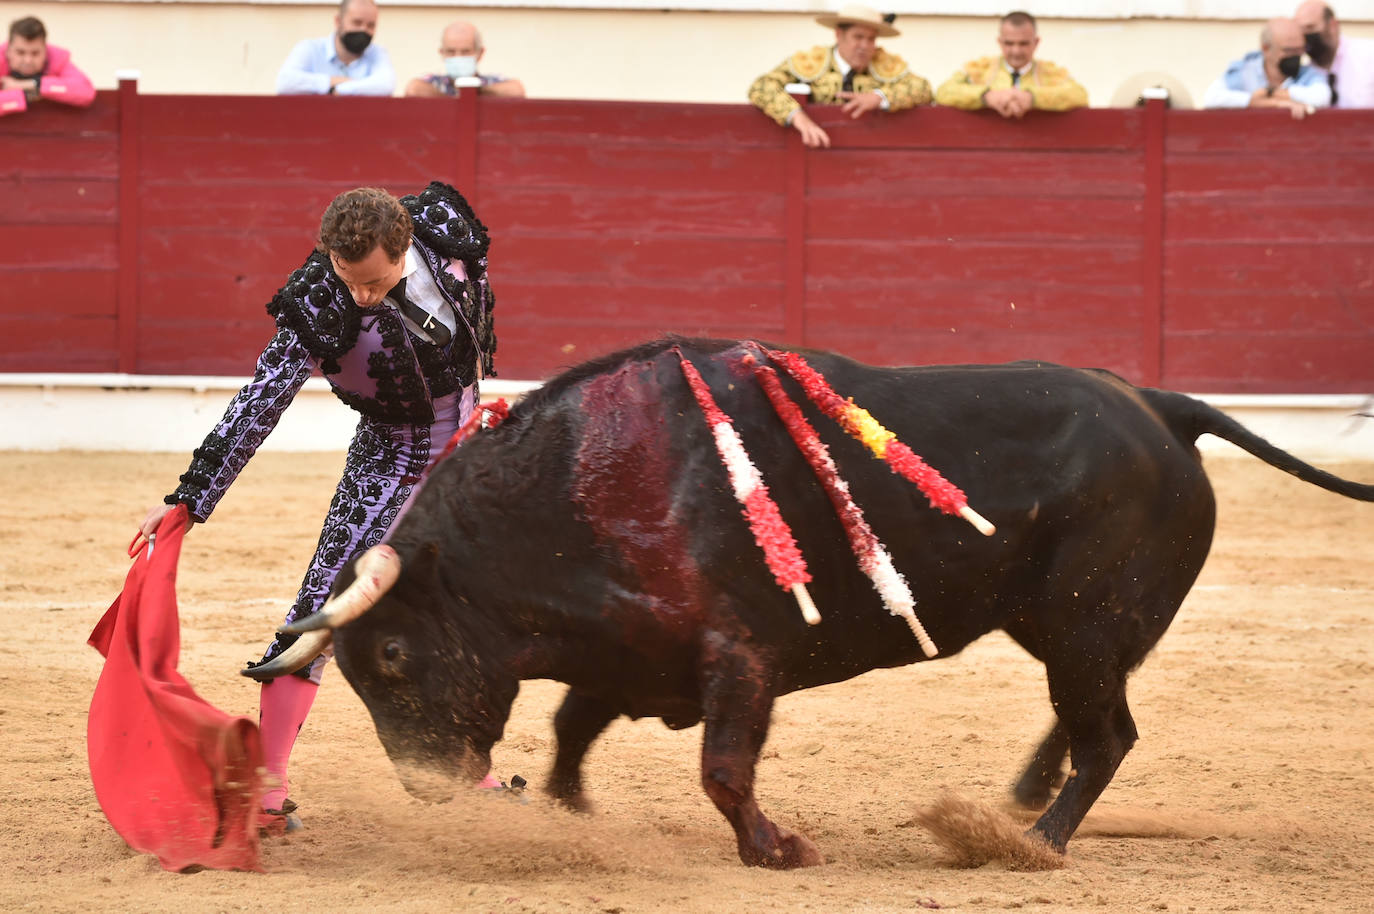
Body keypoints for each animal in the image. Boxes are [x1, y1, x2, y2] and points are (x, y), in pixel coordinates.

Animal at [250, 338, 1374, 868]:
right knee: (1088, 720)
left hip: (1089, 625)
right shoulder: (631, 651)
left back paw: (1034, 842)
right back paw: (1018, 802)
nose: (431, 790)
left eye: (392, 658)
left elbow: (721, 768)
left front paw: (779, 850)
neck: (580, 486)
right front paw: (575, 812)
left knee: (1109, 734)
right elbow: (574, 727)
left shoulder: (740, 658)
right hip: (1061, 628)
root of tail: (1159, 406)